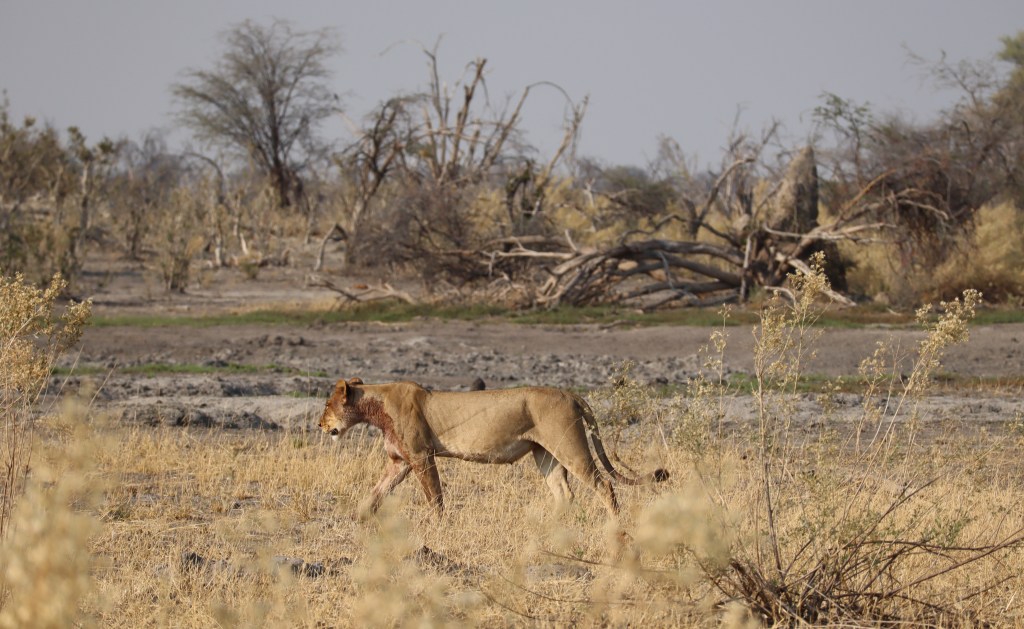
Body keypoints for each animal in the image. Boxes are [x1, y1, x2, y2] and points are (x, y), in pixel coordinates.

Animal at [319, 377, 669, 519]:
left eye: (326, 405)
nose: (320, 425)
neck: (375, 408)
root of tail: (569, 392)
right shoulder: (399, 461)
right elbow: (376, 493)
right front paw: (360, 518)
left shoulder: (421, 456)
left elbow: (435, 497)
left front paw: (438, 525)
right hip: (545, 454)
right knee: (563, 493)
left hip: (570, 446)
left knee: (604, 485)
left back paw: (615, 524)